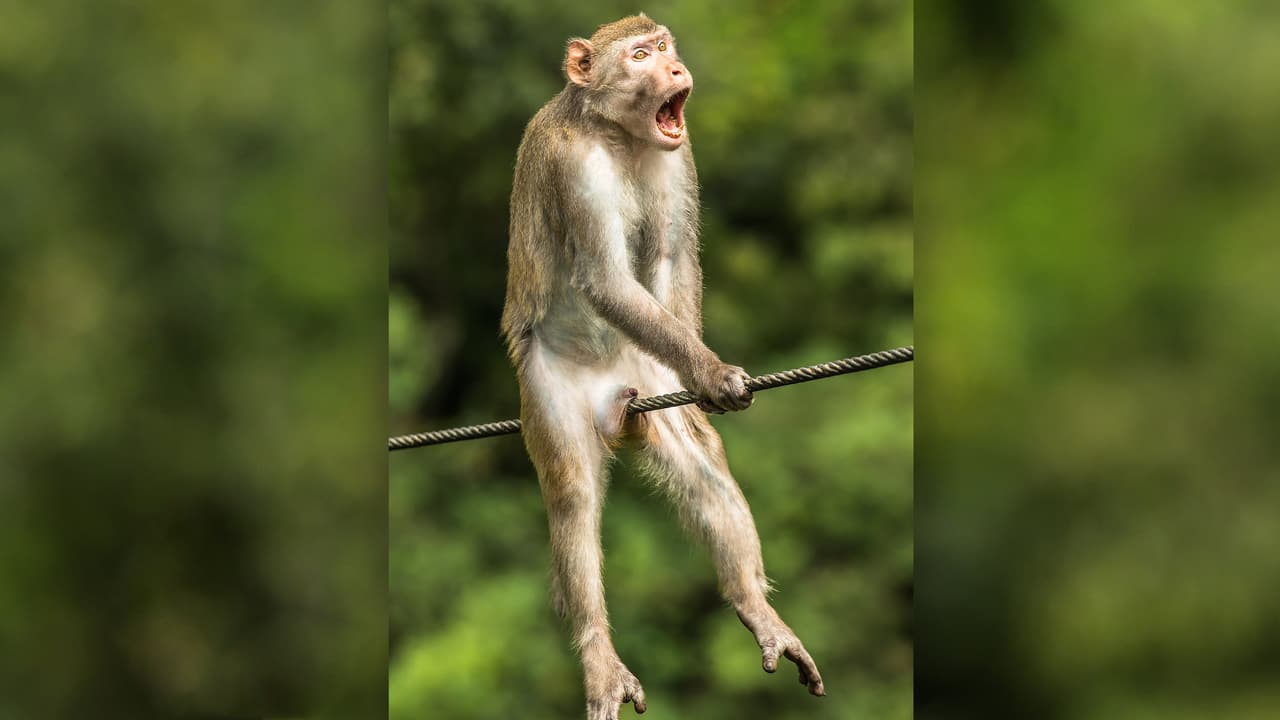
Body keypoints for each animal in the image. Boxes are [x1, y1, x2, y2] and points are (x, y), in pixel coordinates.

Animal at [501, 15, 824, 719]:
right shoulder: (574, 165)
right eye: (641, 55)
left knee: (702, 468)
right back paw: (599, 656)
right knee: (572, 494)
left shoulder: (680, 154)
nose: (674, 70)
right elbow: (605, 280)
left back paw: (756, 609)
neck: (617, 135)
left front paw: (701, 379)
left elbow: (674, 257)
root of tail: (612, 401)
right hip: (548, 390)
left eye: (666, 48)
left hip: (645, 375)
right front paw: (713, 374)